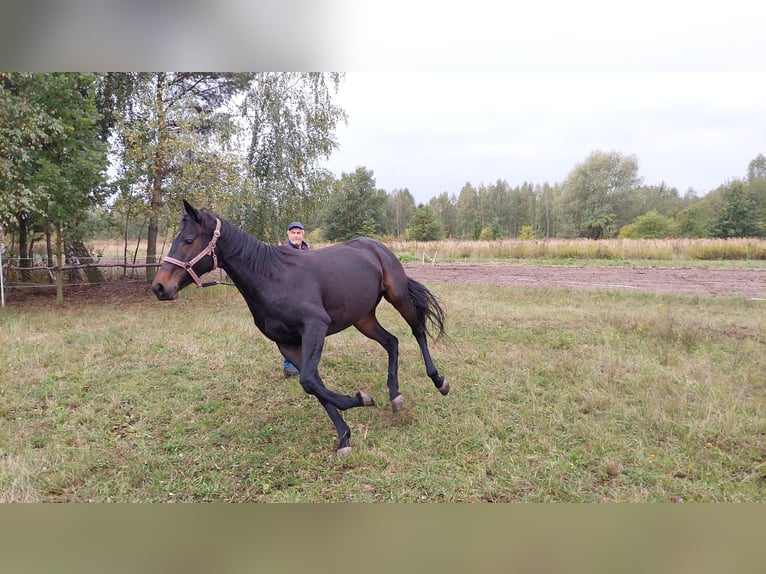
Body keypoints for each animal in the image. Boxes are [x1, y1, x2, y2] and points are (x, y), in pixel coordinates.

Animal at [152, 200, 450, 456]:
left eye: (188, 240)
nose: (159, 287)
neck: (272, 278)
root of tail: (379, 248)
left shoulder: (315, 327)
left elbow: (308, 380)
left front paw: (361, 399)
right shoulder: (287, 343)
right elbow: (314, 384)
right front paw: (344, 435)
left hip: (398, 297)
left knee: (418, 331)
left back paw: (439, 381)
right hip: (363, 318)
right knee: (392, 342)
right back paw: (395, 395)